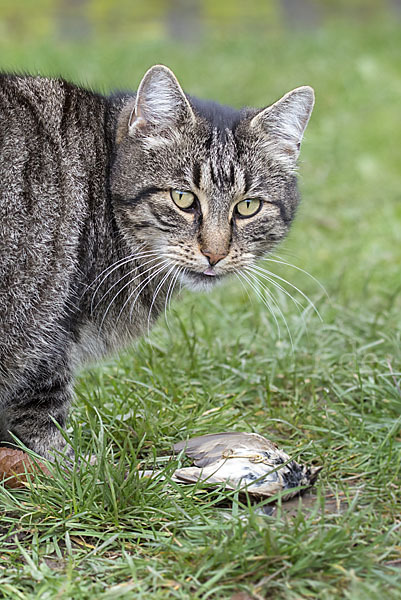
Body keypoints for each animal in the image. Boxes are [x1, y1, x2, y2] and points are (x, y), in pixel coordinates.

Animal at [0, 65, 312, 458]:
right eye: (182, 198)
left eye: (248, 206)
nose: (215, 253)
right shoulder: (47, 338)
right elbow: (41, 416)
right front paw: (70, 463)